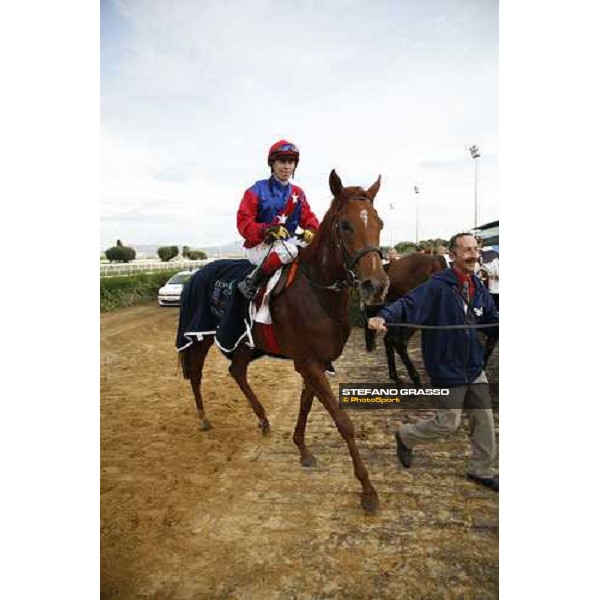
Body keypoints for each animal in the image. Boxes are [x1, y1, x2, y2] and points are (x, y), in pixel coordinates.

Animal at [179, 171, 390, 512]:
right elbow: (343, 421)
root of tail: (196, 273)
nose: (377, 285)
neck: (317, 292)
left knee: (237, 372)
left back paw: (263, 419)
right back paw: (203, 418)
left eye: (378, 222)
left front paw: (302, 449)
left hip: (244, 343)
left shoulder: (316, 362)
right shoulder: (308, 362)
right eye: (345, 225)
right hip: (199, 338)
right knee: (196, 374)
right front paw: (368, 490)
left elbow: (306, 404)